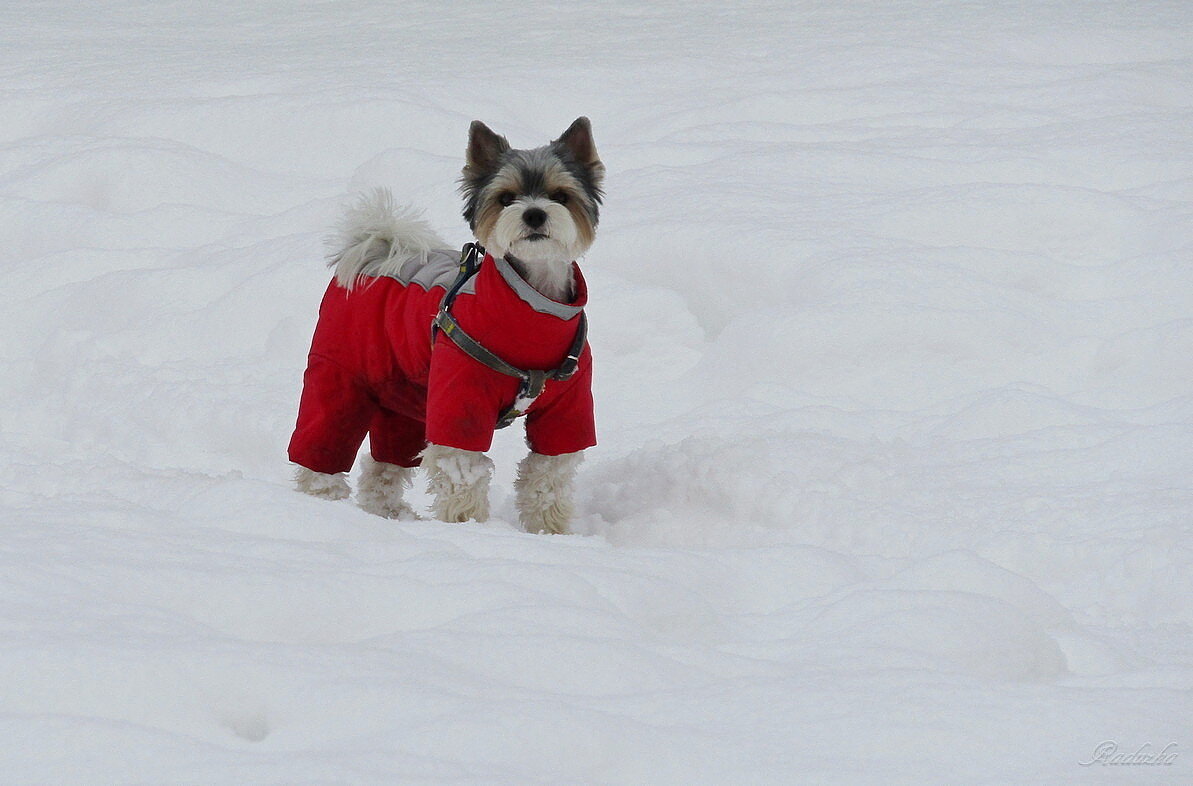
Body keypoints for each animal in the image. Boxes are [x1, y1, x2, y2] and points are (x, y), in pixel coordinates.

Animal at [288, 116, 606, 534]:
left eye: (561, 195)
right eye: (506, 198)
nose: (534, 214)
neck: (534, 310)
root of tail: (378, 251)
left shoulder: (567, 410)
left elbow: (547, 479)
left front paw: (548, 532)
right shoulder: (459, 400)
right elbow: (463, 472)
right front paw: (468, 528)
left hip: (407, 396)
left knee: (382, 468)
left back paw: (390, 515)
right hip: (340, 375)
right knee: (323, 441)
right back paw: (322, 504)